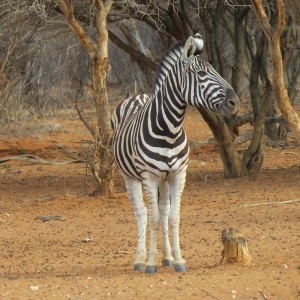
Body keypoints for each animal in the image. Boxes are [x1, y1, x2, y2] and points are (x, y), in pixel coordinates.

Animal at [111, 34, 240, 274]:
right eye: (201, 74)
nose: (235, 102)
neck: (169, 130)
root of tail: (139, 95)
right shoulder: (149, 176)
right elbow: (152, 218)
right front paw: (151, 263)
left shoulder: (179, 174)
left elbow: (173, 217)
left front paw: (178, 259)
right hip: (131, 176)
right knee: (142, 213)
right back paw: (140, 259)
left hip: (164, 178)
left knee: (163, 212)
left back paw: (167, 257)